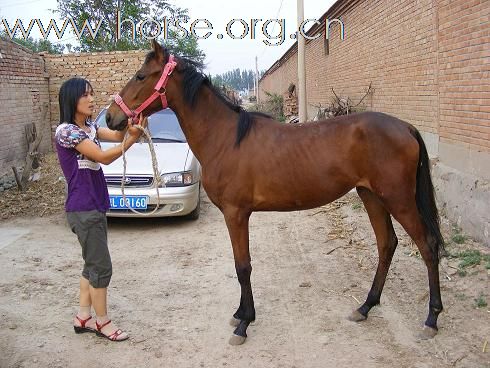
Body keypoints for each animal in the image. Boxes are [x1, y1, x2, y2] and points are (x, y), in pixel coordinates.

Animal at [106, 41, 444, 344]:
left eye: (140, 76)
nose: (111, 117)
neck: (225, 138)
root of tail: (405, 127)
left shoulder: (236, 214)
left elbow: (243, 266)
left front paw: (244, 323)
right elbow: (239, 264)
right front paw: (240, 314)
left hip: (398, 199)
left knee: (427, 246)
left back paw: (431, 319)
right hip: (370, 195)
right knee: (387, 244)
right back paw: (364, 307)